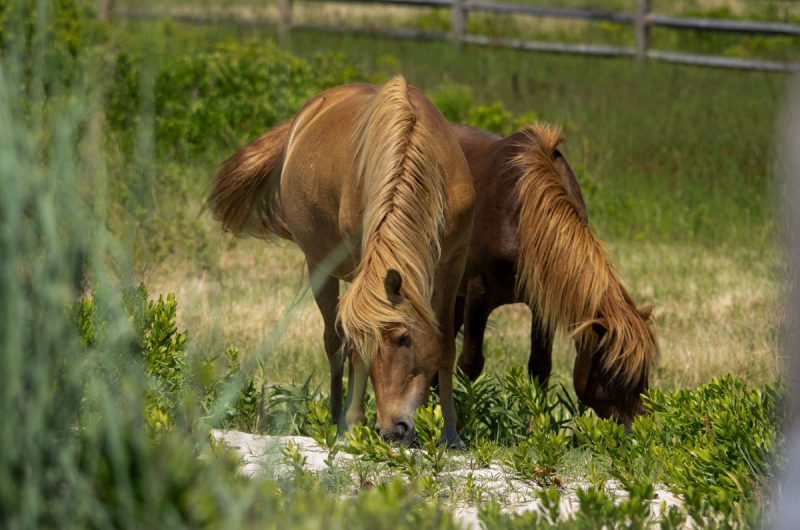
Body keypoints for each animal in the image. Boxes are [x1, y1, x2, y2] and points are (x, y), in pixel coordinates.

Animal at [209, 75, 478, 446]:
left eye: (403, 338)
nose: (391, 429)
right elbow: (354, 349)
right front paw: (353, 425)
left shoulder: (453, 265)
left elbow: (445, 348)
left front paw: (449, 434)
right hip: (320, 268)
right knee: (334, 343)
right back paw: (338, 420)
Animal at [450, 122, 656, 424]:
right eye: (614, 372)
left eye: (645, 374)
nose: (642, 426)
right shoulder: (478, 293)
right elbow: (470, 365)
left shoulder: (542, 302)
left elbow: (539, 368)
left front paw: (536, 425)